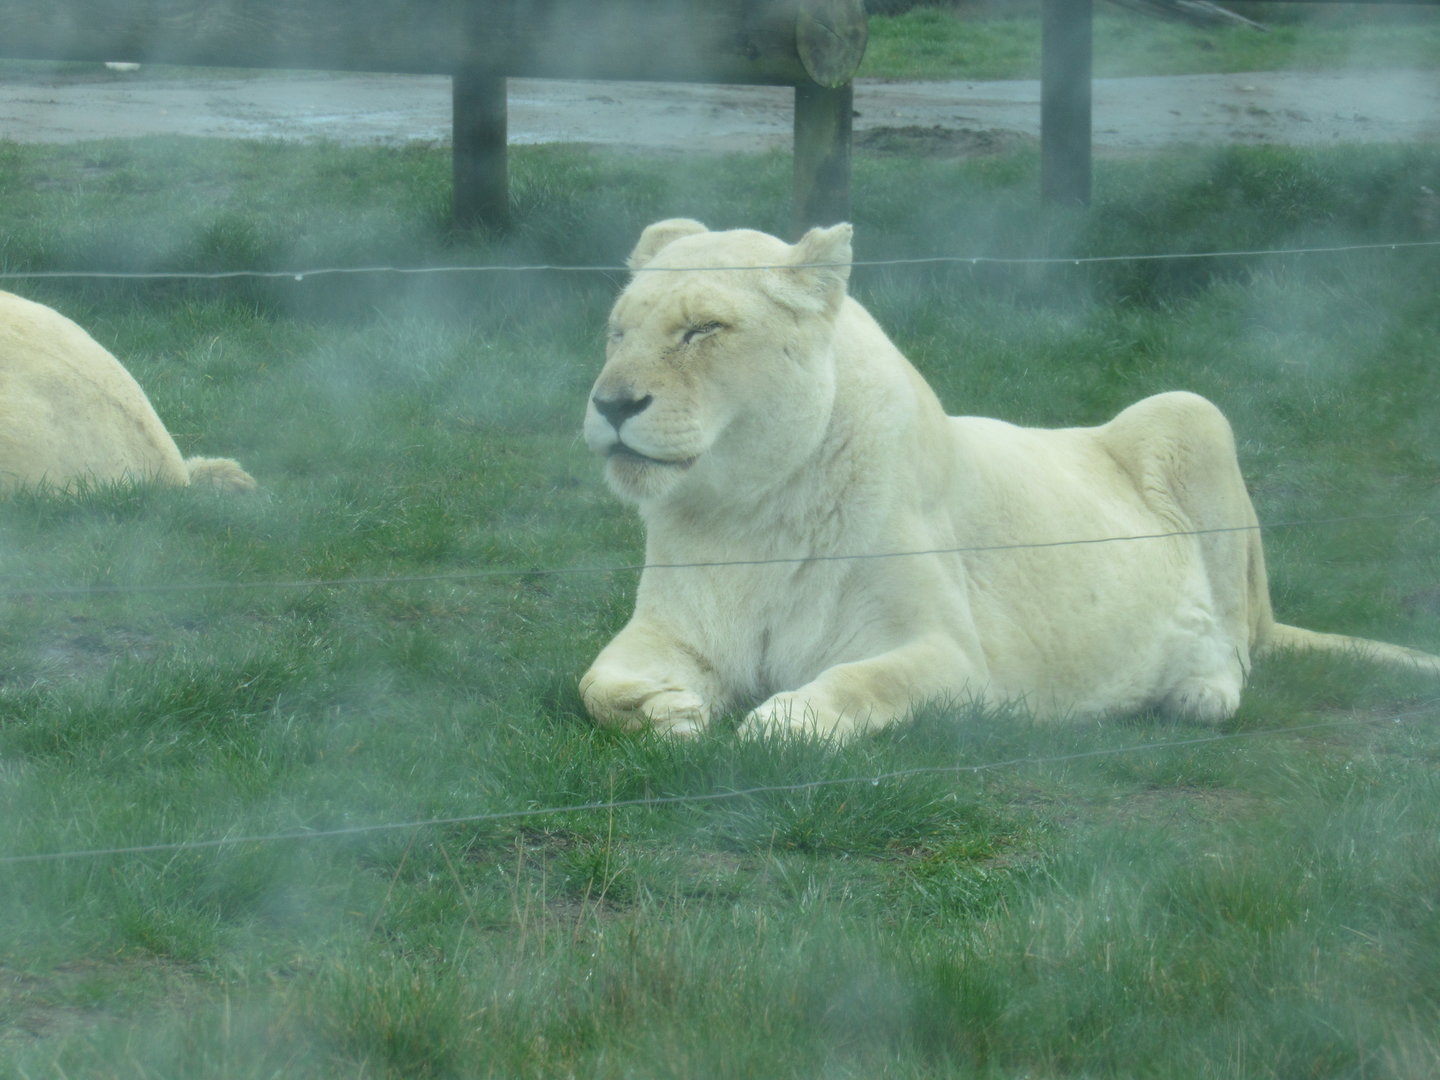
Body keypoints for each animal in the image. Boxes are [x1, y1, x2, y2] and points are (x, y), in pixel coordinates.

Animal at [579, 219, 1440, 740]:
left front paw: (784, 721)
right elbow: (591, 682)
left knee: (1236, 644)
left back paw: (1195, 692)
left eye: (703, 329)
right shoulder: (672, 631)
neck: (750, 511)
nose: (611, 404)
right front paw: (664, 710)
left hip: (1189, 414)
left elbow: (865, 682)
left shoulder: (952, 657)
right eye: (619, 330)